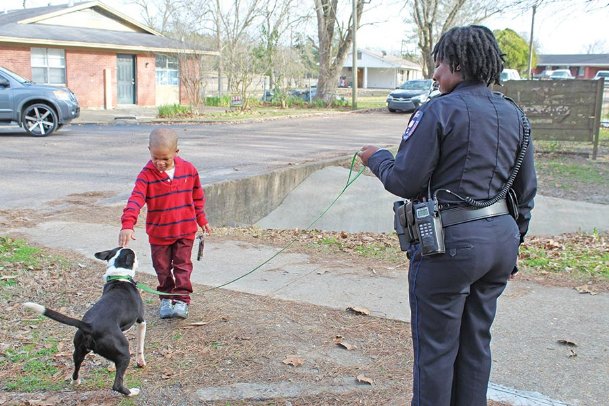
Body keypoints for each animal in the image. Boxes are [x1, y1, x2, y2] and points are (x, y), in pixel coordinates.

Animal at [24, 247, 148, 396]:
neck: (119, 276)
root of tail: (90, 326)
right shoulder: (141, 321)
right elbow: (140, 346)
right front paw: (141, 362)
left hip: (78, 350)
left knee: (76, 368)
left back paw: (75, 382)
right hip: (124, 353)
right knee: (117, 385)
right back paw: (132, 392)